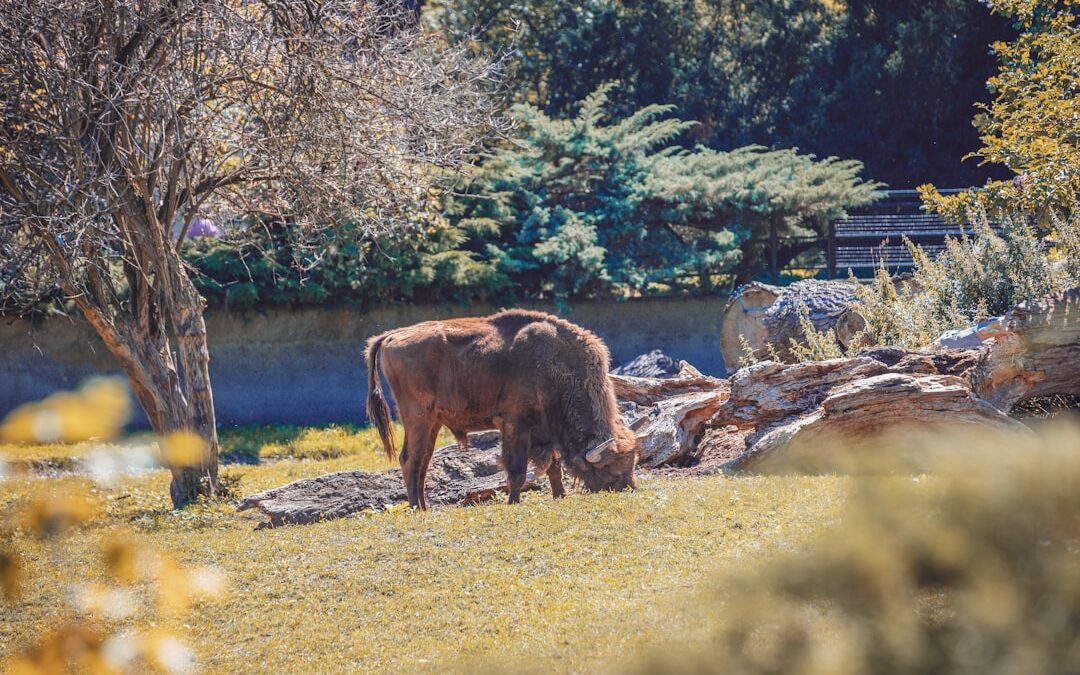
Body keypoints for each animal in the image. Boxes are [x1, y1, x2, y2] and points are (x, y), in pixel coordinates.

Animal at [367, 308, 635, 507]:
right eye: (610, 466)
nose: (629, 487)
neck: (558, 366)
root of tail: (392, 336)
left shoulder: (544, 431)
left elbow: (553, 466)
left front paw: (560, 495)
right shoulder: (515, 424)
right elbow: (517, 468)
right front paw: (513, 501)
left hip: (432, 423)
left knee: (421, 461)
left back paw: (424, 507)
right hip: (417, 419)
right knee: (410, 460)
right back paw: (416, 508)